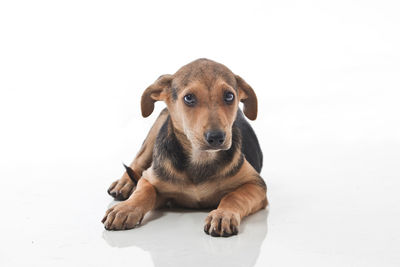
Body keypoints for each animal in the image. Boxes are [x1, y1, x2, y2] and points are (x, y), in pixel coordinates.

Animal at [101, 59, 268, 239]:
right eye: (189, 98)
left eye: (229, 96)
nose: (216, 137)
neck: (200, 158)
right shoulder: (150, 178)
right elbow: (144, 190)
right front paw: (126, 209)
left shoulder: (256, 183)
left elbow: (234, 196)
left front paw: (223, 215)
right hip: (159, 123)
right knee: (138, 159)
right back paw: (123, 184)